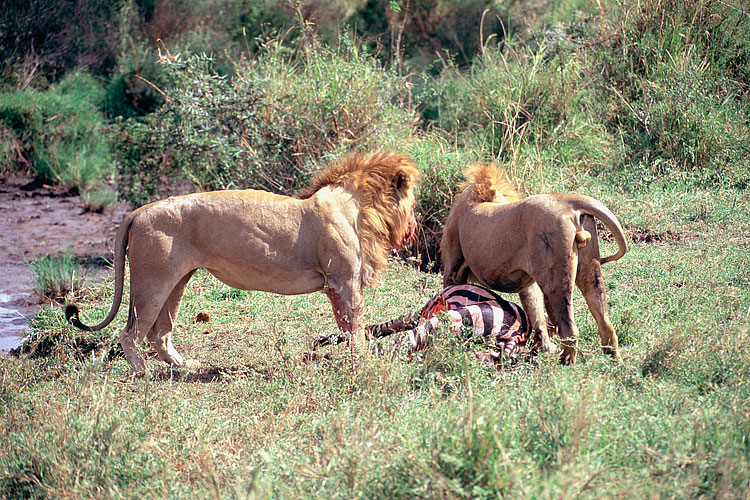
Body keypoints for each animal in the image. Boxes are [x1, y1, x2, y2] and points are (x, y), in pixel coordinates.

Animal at [67, 150, 420, 374]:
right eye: (414, 202)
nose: (415, 226)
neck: (359, 209)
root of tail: (138, 211)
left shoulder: (340, 285)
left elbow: (348, 328)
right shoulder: (343, 282)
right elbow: (355, 327)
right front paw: (364, 362)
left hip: (176, 281)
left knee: (159, 333)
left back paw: (186, 367)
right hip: (151, 282)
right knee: (130, 333)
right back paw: (143, 372)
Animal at [444, 164, 632, 364]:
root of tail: (567, 202)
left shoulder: (453, 268)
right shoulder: (527, 282)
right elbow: (537, 316)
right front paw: (544, 348)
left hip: (554, 281)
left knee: (569, 328)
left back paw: (565, 362)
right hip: (590, 270)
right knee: (605, 322)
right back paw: (614, 361)